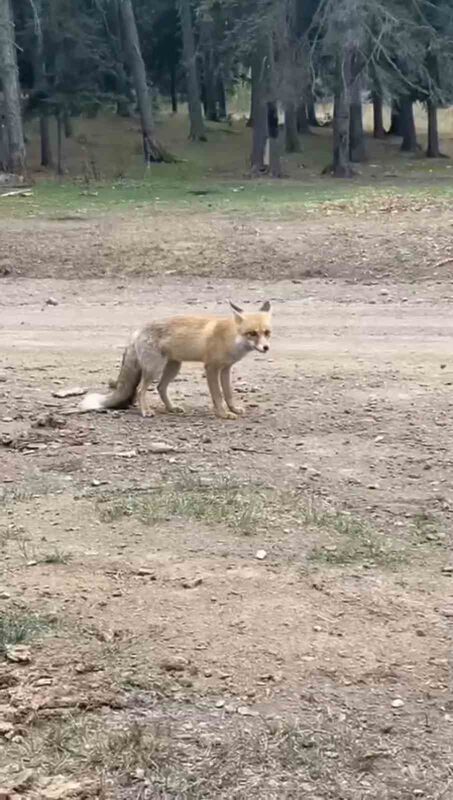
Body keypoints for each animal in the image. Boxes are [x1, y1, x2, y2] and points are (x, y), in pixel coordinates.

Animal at [80, 300, 272, 422]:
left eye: (267, 332)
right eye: (252, 333)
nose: (266, 348)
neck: (231, 338)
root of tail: (137, 331)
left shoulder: (225, 369)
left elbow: (229, 394)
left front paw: (233, 409)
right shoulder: (211, 368)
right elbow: (218, 395)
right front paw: (223, 414)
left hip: (174, 367)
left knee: (160, 387)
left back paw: (171, 408)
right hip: (154, 369)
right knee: (141, 389)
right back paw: (146, 411)